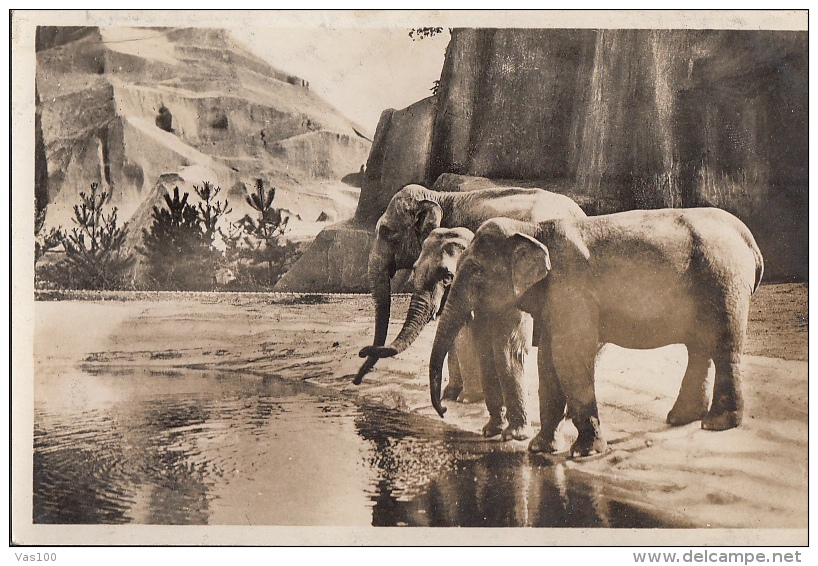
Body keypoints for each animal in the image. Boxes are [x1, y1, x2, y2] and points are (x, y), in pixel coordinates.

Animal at [428, 209, 764, 462]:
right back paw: (681, 418)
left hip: (724, 280)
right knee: (700, 348)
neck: (533, 229)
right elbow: (548, 360)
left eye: (476, 272)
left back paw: (717, 424)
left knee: (723, 347)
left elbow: (570, 355)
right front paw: (539, 448)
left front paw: (583, 454)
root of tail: (748, 239)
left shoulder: (571, 286)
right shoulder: (555, 297)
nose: (444, 410)